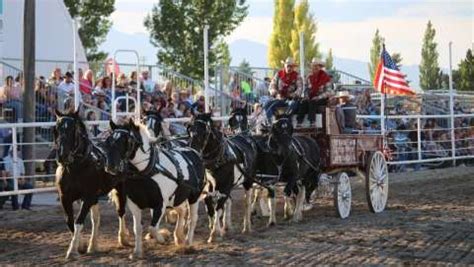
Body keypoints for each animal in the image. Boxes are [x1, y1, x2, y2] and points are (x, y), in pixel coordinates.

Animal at [54, 109, 129, 260]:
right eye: (57, 129)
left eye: (73, 129)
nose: (62, 156)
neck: (76, 167)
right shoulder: (65, 198)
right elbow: (70, 221)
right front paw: (81, 246)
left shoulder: (87, 197)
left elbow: (78, 221)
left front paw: (72, 250)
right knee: (96, 219)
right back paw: (93, 245)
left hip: (120, 187)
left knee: (121, 211)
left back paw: (122, 238)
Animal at [187, 112, 258, 242]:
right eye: (190, 129)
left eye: (205, 131)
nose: (193, 149)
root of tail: (244, 137)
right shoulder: (208, 189)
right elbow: (210, 209)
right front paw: (215, 229)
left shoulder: (225, 188)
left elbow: (218, 208)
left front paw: (215, 233)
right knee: (229, 202)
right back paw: (226, 226)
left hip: (248, 181)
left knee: (247, 203)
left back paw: (247, 227)